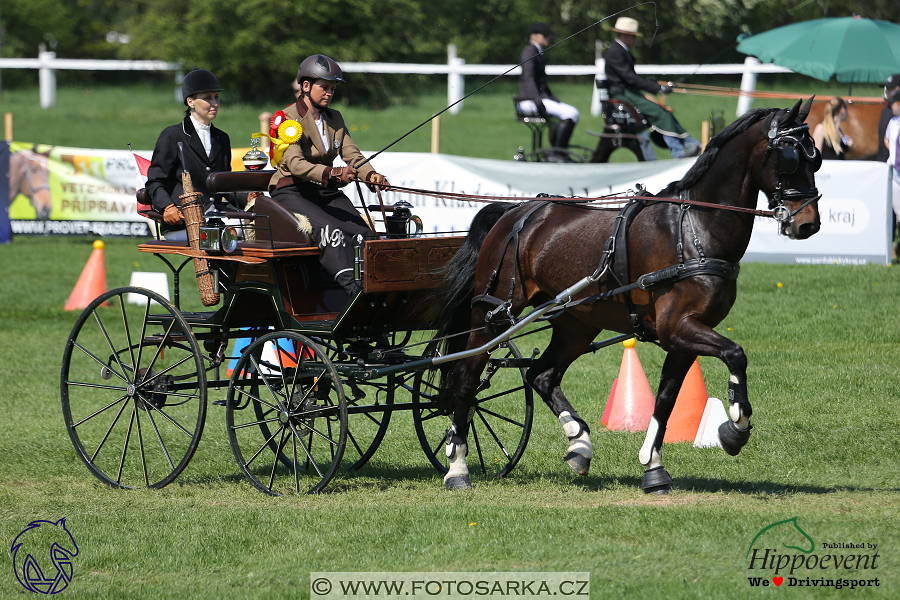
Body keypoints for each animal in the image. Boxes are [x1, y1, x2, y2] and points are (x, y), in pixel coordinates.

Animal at [436, 97, 824, 492]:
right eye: (789, 157)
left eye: (817, 159)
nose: (808, 224)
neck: (694, 230)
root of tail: (513, 211)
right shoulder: (677, 327)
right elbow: (736, 354)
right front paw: (735, 429)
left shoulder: (682, 338)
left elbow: (666, 399)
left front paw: (653, 467)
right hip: (495, 314)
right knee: (465, 378)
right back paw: (457, 465)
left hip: (576, 324)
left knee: (541, 375)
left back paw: (579, 443)